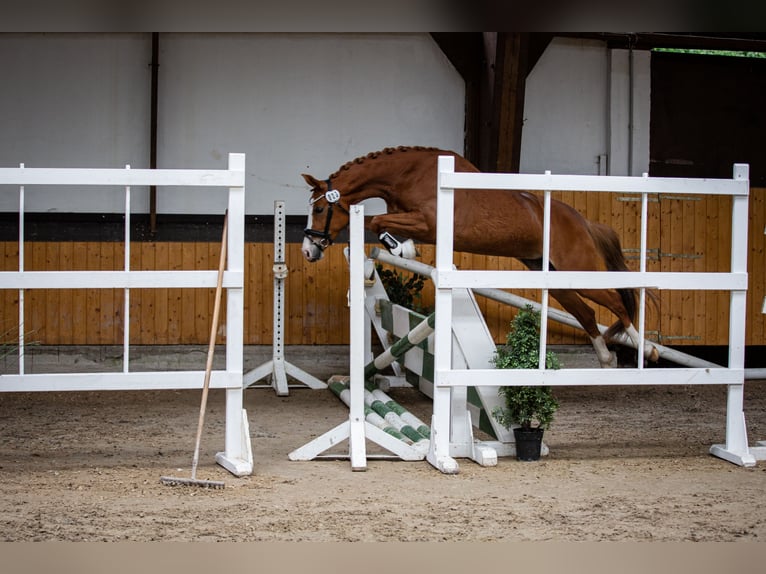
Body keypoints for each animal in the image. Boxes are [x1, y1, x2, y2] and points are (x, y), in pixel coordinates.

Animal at [302, 145, 660, 368]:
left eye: (319, 210)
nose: (308, 250)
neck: (410, 174)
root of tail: (582, 221)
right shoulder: (412, 219)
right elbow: (377, 224)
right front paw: (401, 249)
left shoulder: (428, 222)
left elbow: (377, 223)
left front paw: (403, 249)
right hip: (554, 277)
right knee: (587, 313)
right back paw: (606, 359)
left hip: (579, 271)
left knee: (617, 300)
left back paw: (647, 349)